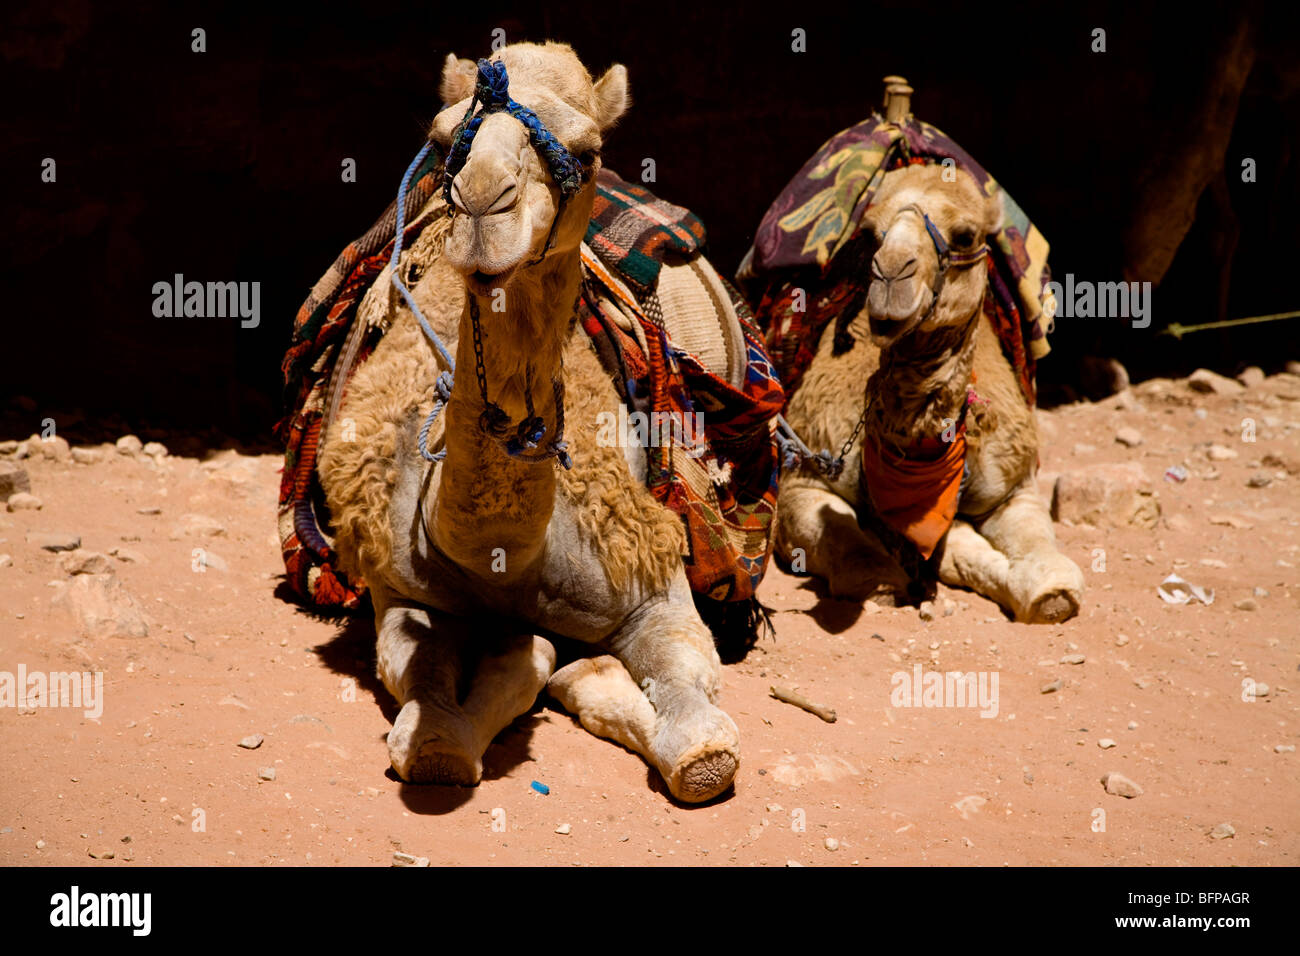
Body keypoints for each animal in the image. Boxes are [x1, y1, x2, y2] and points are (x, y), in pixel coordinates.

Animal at [315, 41, 743, 806]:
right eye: (441, 139)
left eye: (588, 150)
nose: (484, 203)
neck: (506, 560)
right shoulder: (399, 591)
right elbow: (431, 734)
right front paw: (528, 668)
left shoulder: (650, 571)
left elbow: (703, 745)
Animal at [774, 160, 1081, 624]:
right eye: (871, 234)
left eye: (966, 235)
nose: (890, 273)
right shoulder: (802, 479)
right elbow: (860, 561)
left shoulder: (1014, 486)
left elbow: (1042, 562)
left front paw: (1050, 594)